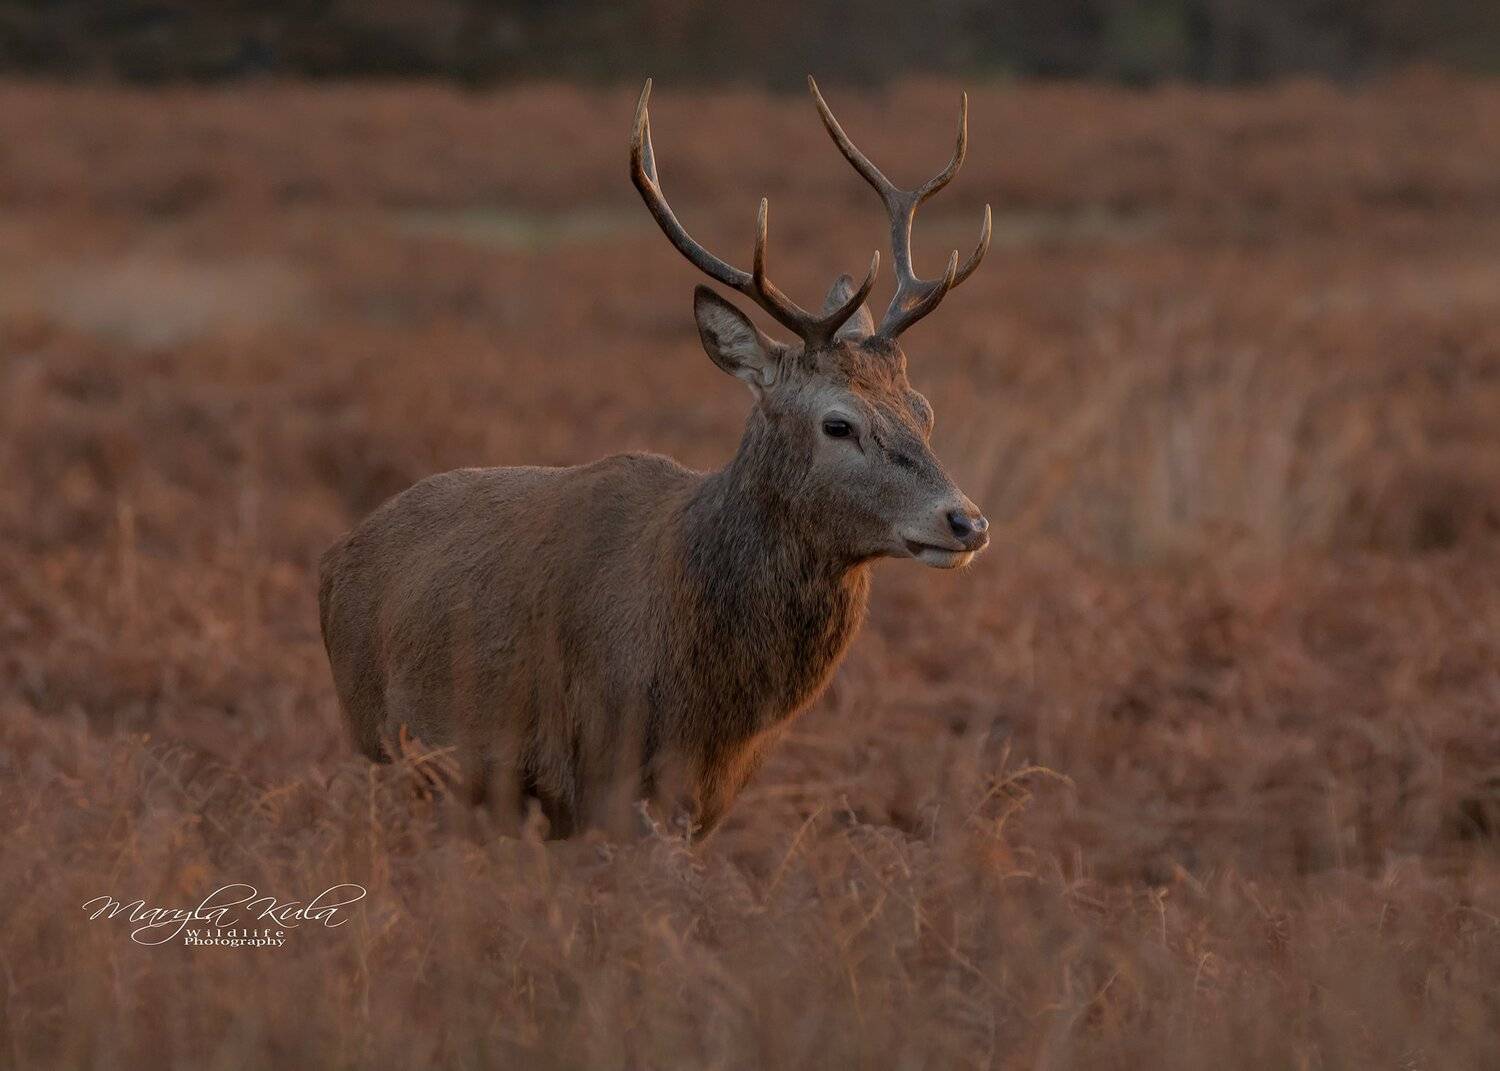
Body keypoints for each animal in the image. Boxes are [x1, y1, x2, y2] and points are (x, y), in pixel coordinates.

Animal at [317, 77, 992, 840]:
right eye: (838, 423)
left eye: (924, 409)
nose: (966, 521)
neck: (707, 706)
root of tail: (334, 560)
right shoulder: (595, 766)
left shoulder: (709, 797)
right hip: (376, 737)